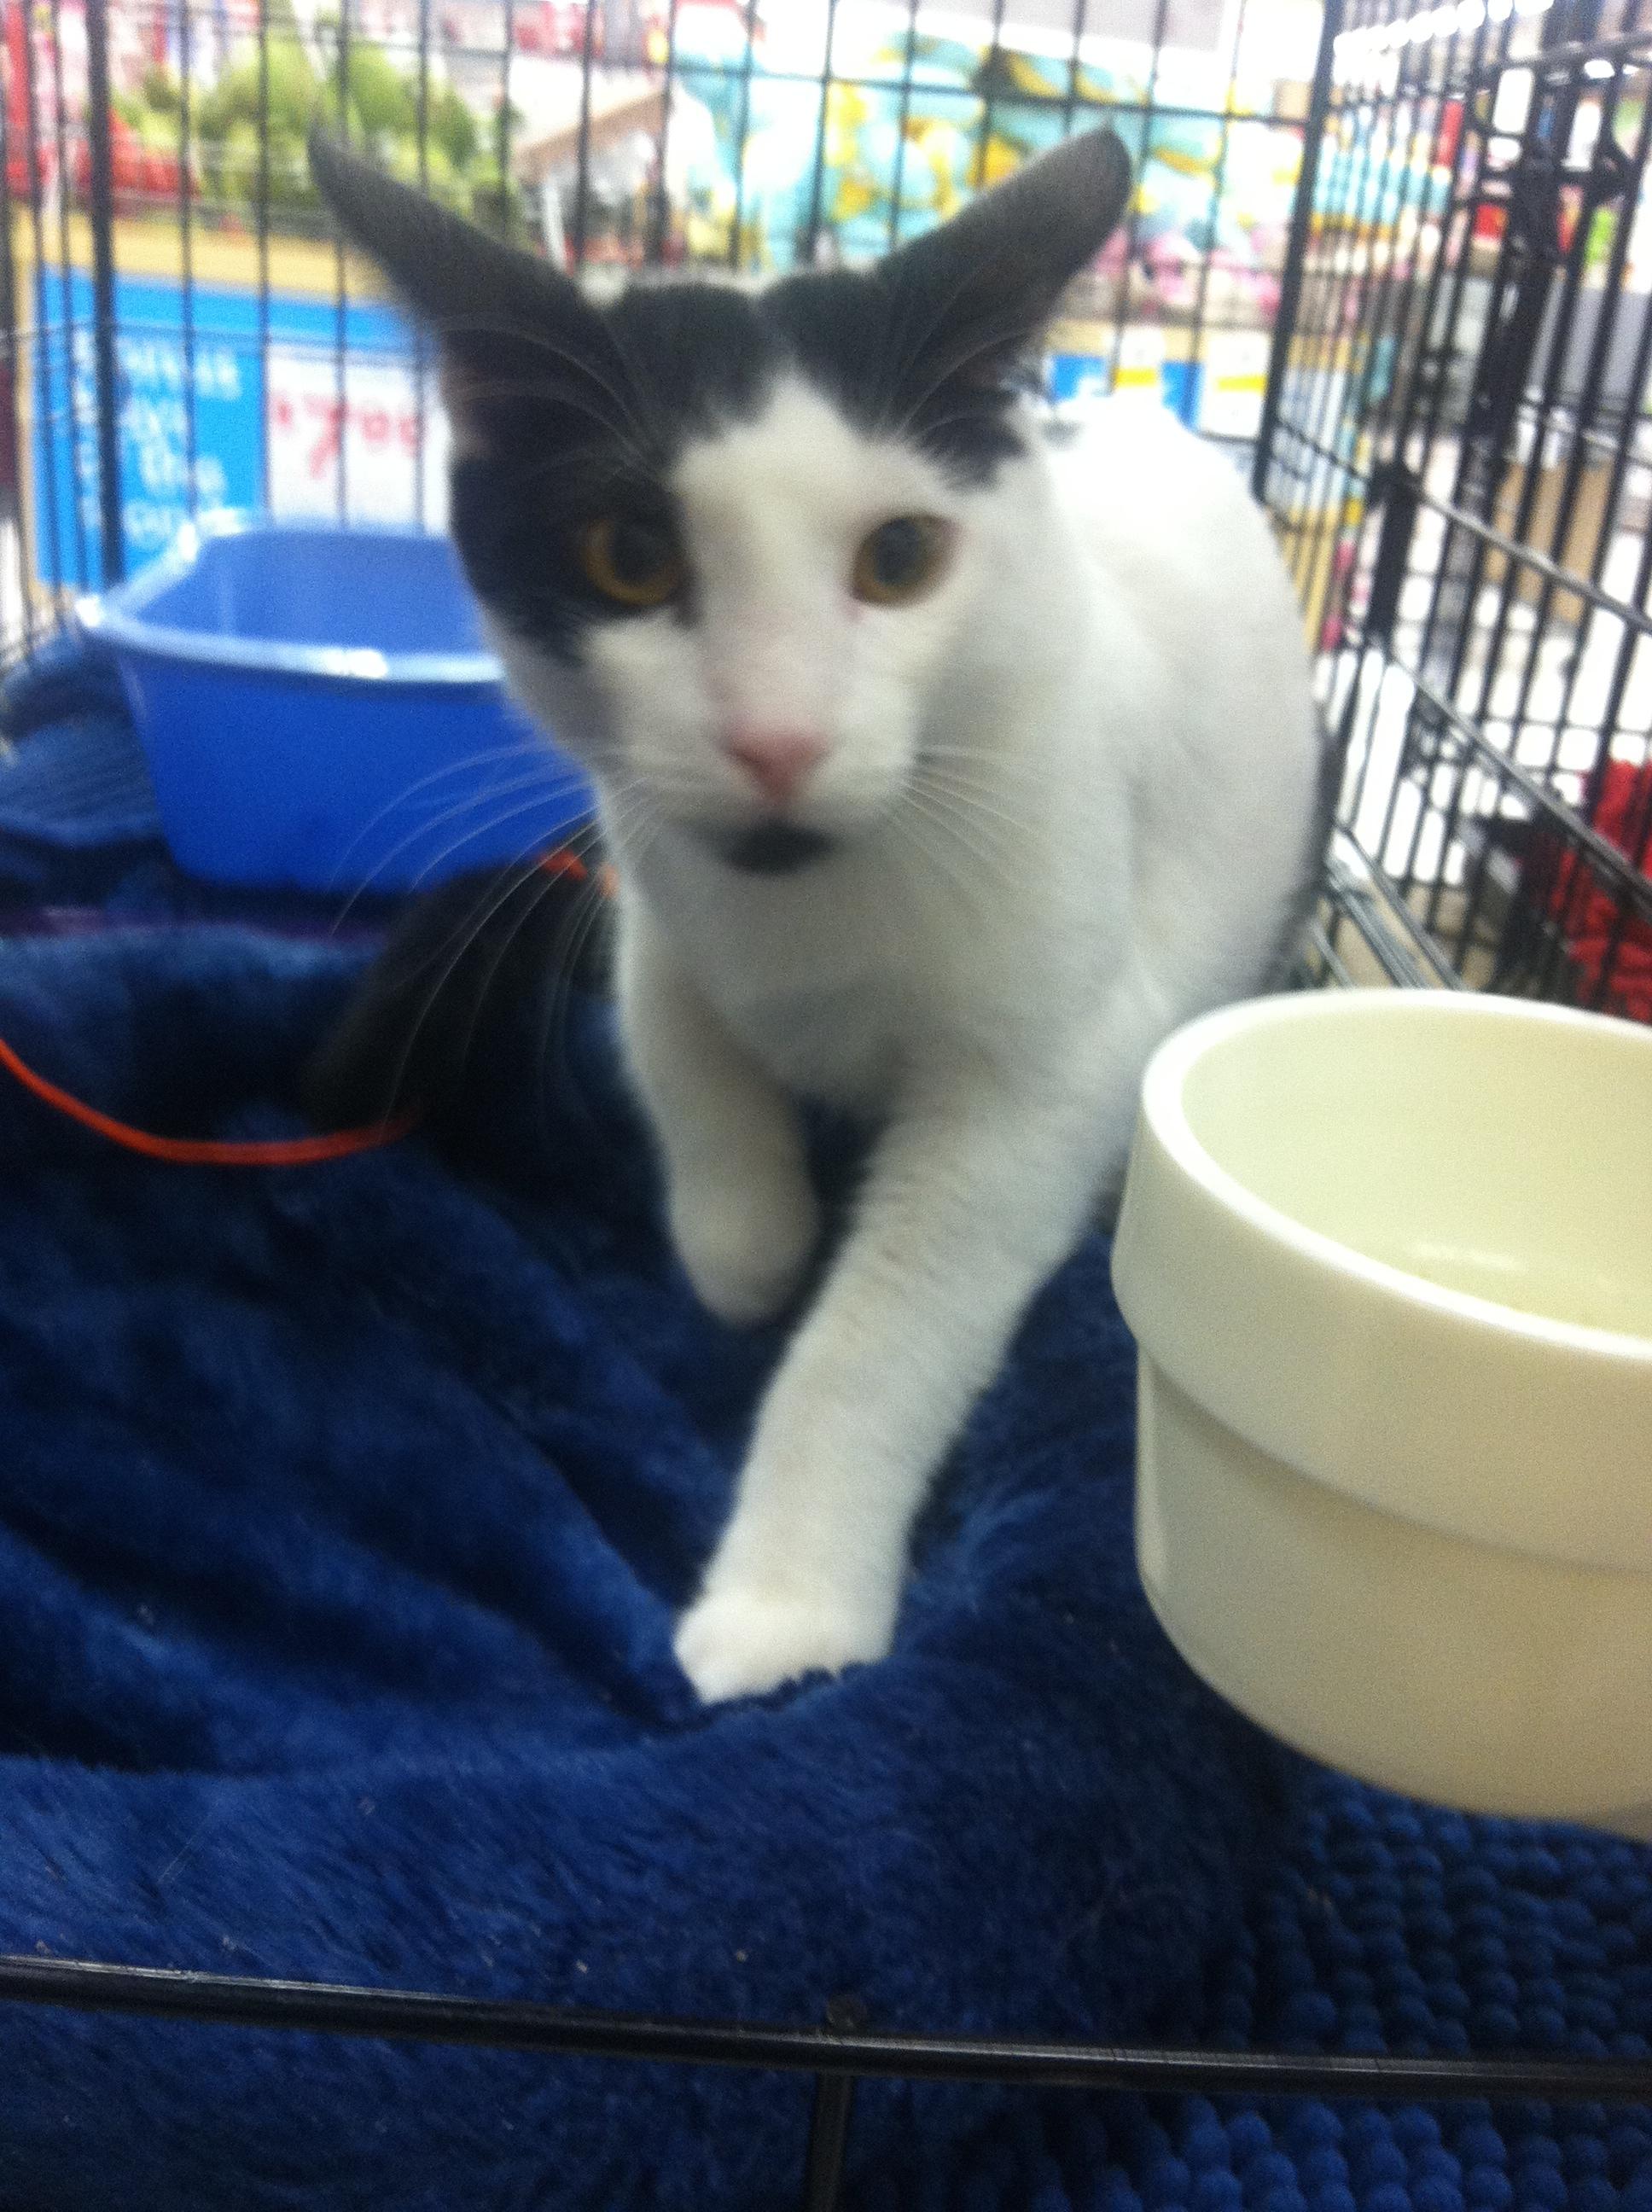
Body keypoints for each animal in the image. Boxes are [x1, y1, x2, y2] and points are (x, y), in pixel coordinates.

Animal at [309, 120, 1327, 1698]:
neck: (818, 901)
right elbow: (681, 1055)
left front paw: (784, 1607)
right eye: (628, 556)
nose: (775, 741)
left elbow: (886, 1325)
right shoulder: (654, 898)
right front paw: (751, 1239)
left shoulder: (1053, 1054)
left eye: (899, 558)